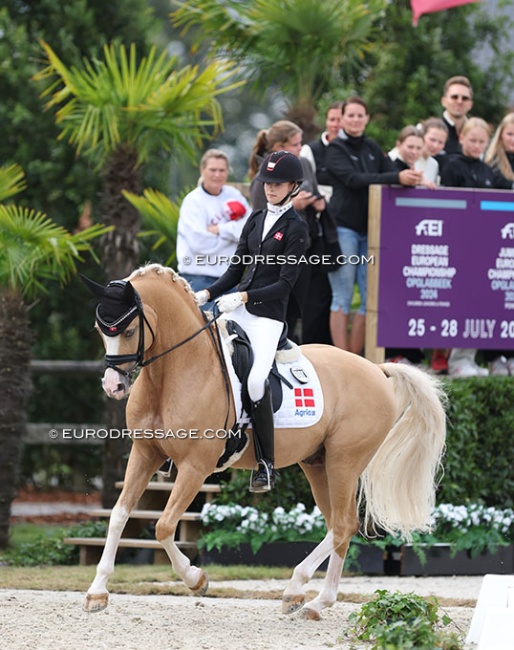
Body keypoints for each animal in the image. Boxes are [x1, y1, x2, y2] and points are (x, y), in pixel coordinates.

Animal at [81, 263, 446, 620]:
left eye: (129, 331)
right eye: (101, 330)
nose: (113, 386)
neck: (175, 372)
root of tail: (376, 369)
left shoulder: (196, 467)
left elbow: (164, 526)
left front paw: (196, 579)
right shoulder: (145, 454)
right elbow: (119, 515)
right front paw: (97, 592)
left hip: (344, 462)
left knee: (344, 525)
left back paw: (297, 587)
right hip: (319, 464)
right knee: (340, 528)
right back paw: (316, 602)